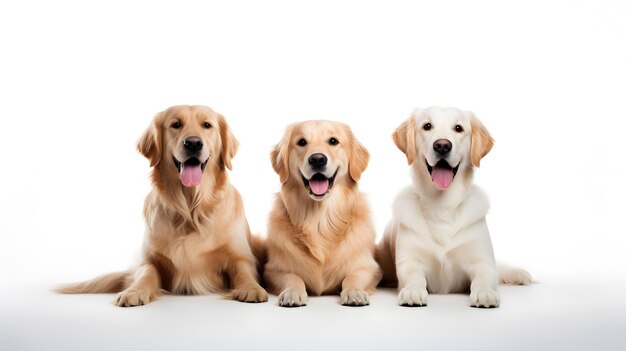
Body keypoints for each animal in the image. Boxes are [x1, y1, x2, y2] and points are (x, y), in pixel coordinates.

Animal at [55, 105, 266, 308]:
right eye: (176, 124)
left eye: (207, 125)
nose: (193, 143)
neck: (190, 210)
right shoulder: (148, 259)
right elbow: (146, 273)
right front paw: (134, 292)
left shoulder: (241, 256)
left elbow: (244, 271)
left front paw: (251, 288)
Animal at [264, 121, 380, 308]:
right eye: (302, 142)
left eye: (333, 141)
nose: (317, 159)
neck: (319, 220)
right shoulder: (273, 271)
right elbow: (293, 276)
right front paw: (292, 292)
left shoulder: (369, 268)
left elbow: (353, 276)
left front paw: (354, 292)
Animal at [376, 107, 532, 308]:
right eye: (427, 126)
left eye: (458, 128)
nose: (442, 146)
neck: (442, 206)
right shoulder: (409, 261)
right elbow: (414, 276)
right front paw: (412, 291)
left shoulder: (482, 260)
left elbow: (484, 276)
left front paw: (485, 293)